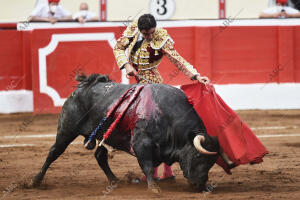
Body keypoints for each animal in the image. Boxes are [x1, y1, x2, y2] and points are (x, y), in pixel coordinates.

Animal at [31, 73, 226, 192]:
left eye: (212, 162)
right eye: (199, 156)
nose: (201, 185)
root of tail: (82, 87)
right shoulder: (141, 144)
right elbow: (147, 165)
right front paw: (154, 188)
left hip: (103, 133)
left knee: (100, 156)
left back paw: (115, 180)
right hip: (67, 130)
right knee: (54, 152)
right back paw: (36, 181)